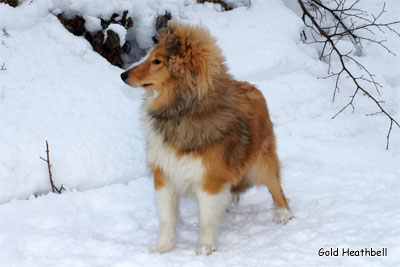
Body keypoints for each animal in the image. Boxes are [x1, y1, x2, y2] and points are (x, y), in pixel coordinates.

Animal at [120, 19, 292, 255]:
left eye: (157, 61)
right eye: (150, 56)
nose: (122, 75)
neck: (182, 111)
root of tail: (253, 87)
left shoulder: (210, 180)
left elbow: (207, 220)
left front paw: (204, 250)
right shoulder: (164, 175)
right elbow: (167, 219)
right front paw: (163, 248)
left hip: (262, 162)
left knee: (277, 188)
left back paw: (283, 214)